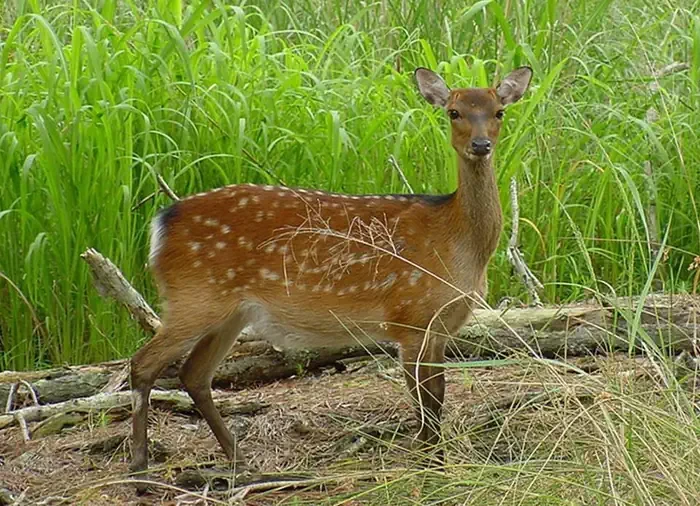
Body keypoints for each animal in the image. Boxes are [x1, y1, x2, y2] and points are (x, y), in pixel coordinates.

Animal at [129, 66, 532, 481]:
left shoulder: (440, 327)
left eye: (499, 111)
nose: (481, 145)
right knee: (143, 363)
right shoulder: (410, 317)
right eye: (454, 112)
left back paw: (240, 460)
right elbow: (426, 401)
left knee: (194, 374)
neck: (457, 243)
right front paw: (428, 468)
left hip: (231, 311)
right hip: (194, 296)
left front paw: (437, 464)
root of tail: (160, 224)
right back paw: (140, 467)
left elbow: (437, 396)